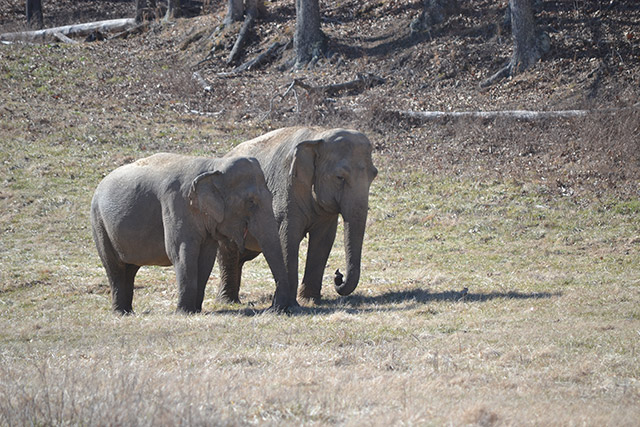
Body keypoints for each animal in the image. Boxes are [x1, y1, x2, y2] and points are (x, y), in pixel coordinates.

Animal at [89, 154, 292, 314]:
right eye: (250, 202)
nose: (275, 308)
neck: (212, 165)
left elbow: (206, 258)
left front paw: (195, 311)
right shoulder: (175, 203)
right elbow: (180, 252)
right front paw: (184, 312)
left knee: (130, 269)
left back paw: (128, 312)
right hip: (99, 223)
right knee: (114, 268)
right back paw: (120, 313)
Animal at [218, 127, 378, 304]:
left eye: (374, 175)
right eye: (339, 177)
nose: (338, 274)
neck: (317, 137)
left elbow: (323, 241)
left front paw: (309, 301)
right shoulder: (286, 189)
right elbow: (287, 237)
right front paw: (289, 304)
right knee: (228, 250)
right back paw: (227, 301)